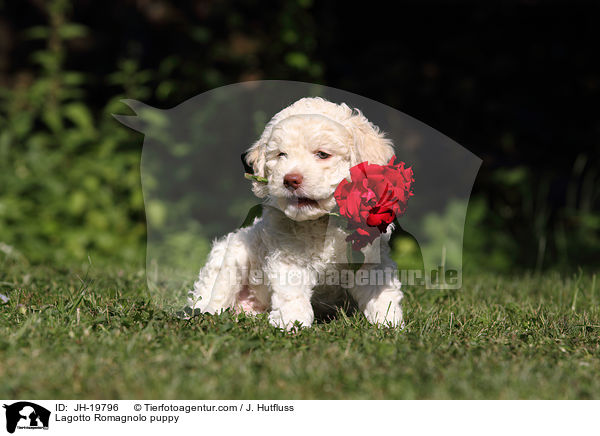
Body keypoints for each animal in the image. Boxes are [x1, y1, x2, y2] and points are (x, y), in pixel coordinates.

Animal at [188, 98, 404, 330]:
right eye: (281, 155)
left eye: (322, 154)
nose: (290, 180)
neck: (323, 221)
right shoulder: (288, 257)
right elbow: (291, 294)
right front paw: (292, 324)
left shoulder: (370, 256)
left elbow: (379, 291)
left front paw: (389, 322)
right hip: (231, 256)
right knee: (213, 295)